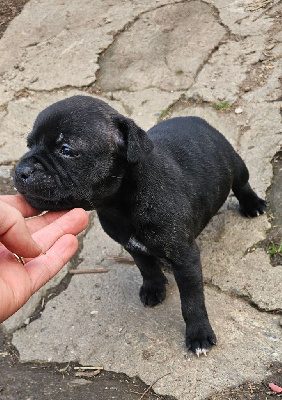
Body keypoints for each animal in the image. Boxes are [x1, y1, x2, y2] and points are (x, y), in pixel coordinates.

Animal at [14, 96, 266, 356]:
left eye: (66, 150)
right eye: (29, 144)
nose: (20, 170)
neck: (121, 203)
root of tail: (198, 120)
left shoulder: (185, 257)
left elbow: (192, 300)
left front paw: (198, 334)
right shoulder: (130, 244)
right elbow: (146, 266)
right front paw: (154, 287)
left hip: (235, 164)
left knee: (242, 184)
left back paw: (252, 204)